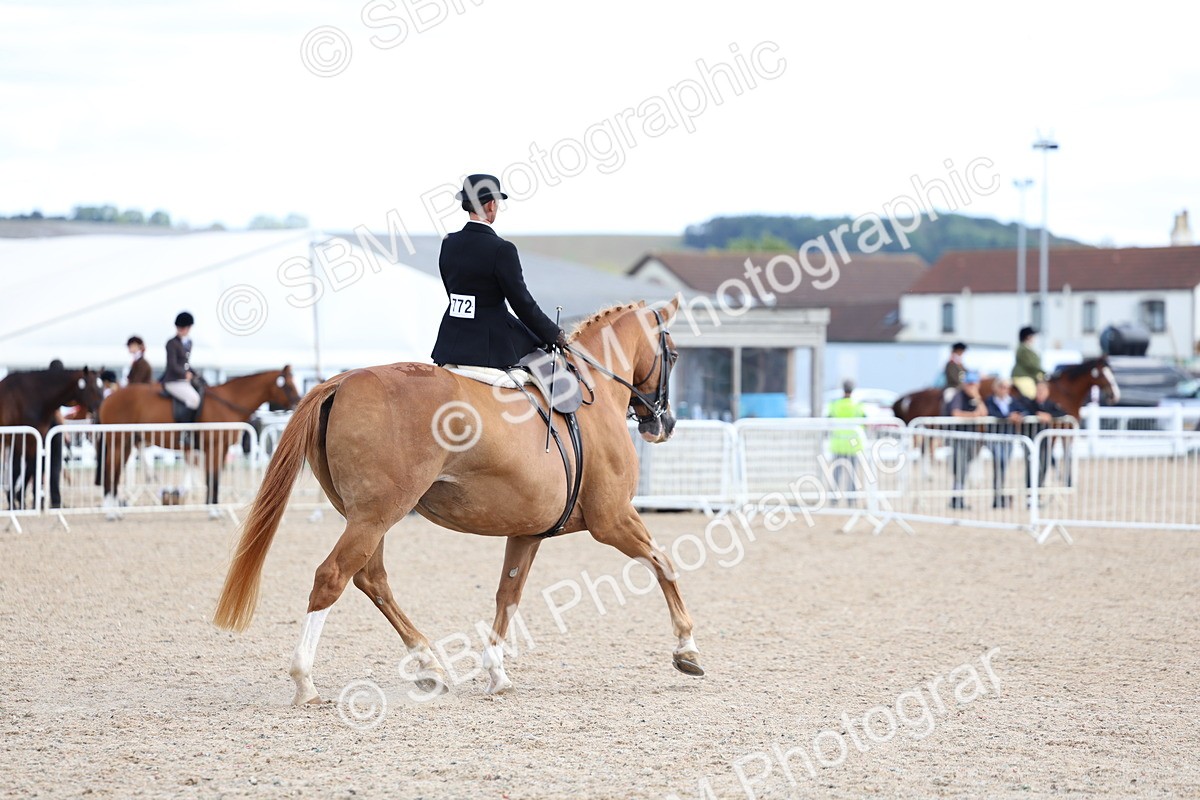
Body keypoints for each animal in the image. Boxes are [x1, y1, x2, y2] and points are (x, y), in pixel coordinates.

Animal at [0, 367, 105, 509]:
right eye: (93, 387)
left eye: (102, 387)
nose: (101, 412)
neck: (32, 396)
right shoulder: (19, 439)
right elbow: (17, 468)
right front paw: (14, 502)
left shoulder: (35, 438)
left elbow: (32, 467)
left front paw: (20, 500)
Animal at [96, 367, 301, 512]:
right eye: (288, 385)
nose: (297, 403)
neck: (227, 402)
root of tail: (108, 398)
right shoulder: (215, 447)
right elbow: (213, 477)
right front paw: (213, 507)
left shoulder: (221, 449)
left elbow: (213, 477)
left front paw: (212, 505)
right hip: (118, 442)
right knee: (110, 470)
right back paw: (109, 507)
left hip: (126, 443)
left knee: (115, 471)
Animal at [212, 298, 702, 704]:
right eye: (675, 355)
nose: (664, 424)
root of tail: (344, 378)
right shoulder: (613, 519)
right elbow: (664, 563)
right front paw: (687, 650)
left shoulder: (527, 533)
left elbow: (508, 595)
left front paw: (497, 673)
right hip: (375, 516)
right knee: (332, 577)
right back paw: (305, 681)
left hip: (368, 517)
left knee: (372, 579)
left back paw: (428, 664)